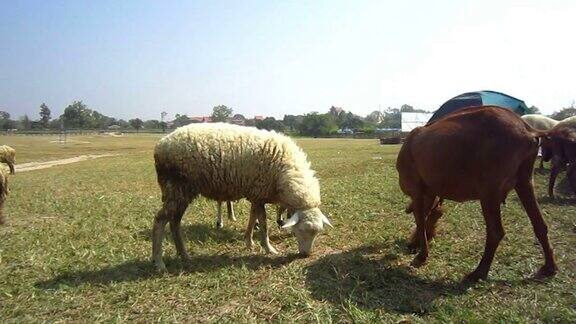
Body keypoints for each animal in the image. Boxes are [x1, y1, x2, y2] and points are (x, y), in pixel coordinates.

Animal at [152, 123, 332, 270]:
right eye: (300, 230)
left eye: (317, 233)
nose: (306, 255)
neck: (286, 171)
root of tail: (161, 144)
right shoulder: (259, 193)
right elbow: (264, 225)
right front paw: (269, 249)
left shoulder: (256, 195)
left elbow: (253, 219)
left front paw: (248, 241)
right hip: (177, 187)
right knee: (161, 219)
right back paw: (158, 262)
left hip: (182, 191)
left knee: (174, 221)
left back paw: (184, 255)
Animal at [398, 105, 556, 280]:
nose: (410, 246)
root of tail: (527, 129)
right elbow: (426, 212)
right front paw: (417, 244)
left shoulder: (415, 184)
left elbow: (419, 216)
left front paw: (420, 255)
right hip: (524, 174)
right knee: (539, 223)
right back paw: (549, 268)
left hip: (491, 178)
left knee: (495, 231)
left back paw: (478, 272)